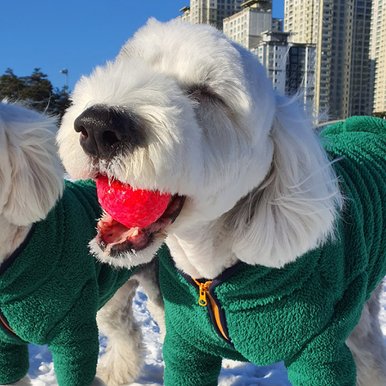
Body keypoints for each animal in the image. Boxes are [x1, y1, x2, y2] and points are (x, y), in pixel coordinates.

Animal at [57, 20, 386, 386]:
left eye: (207, 94)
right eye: (128, 63)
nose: (98, 127)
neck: (211, 271)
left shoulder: (320, 351)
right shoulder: (187, 348)